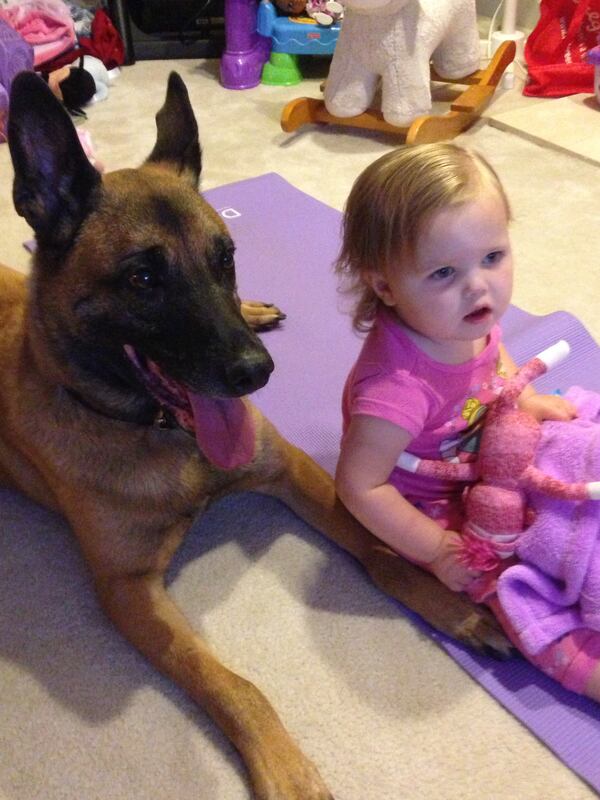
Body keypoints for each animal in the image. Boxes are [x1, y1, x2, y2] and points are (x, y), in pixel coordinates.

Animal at [2, 72, 508, 796]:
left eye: (225, 259)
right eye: (142, 278)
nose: (256, 373)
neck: (168, 435)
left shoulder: (290, 469)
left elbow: (378, 549)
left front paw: (447, 602)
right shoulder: (127, 591)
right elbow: (234, 687)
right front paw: (285, 767)